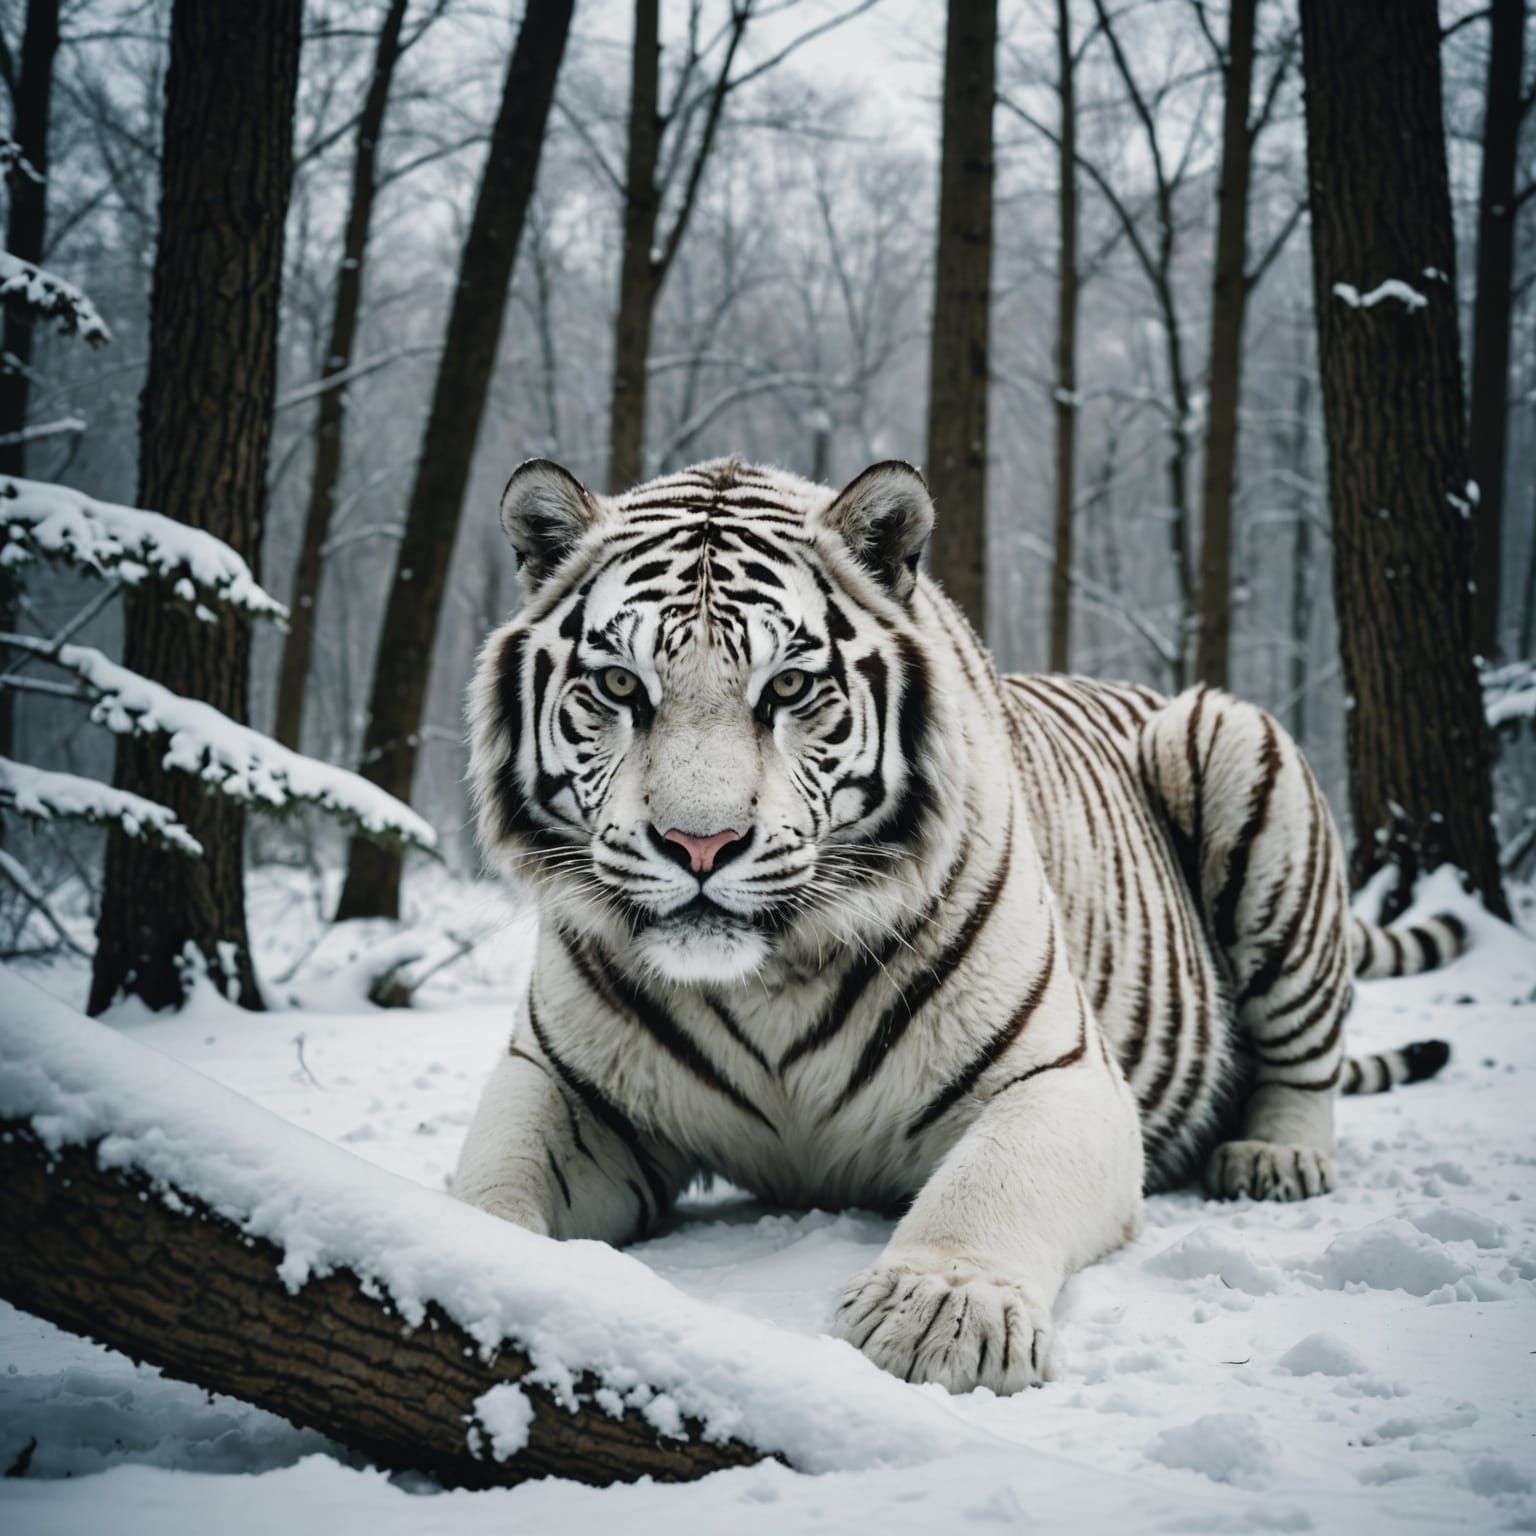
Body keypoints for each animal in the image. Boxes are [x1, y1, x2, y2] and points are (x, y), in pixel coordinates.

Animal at [454, 455, 1465, 1395]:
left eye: (789, 688)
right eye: (620, 684)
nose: (700, 844)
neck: (766, 980)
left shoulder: (1061, 1074)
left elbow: (990, 1184)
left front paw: (939, 1315)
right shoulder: (562, 1080)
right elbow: (493, 1174)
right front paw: (462, 1260)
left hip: (1234, 741)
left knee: (1305, 1057)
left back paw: (1272, 1157)